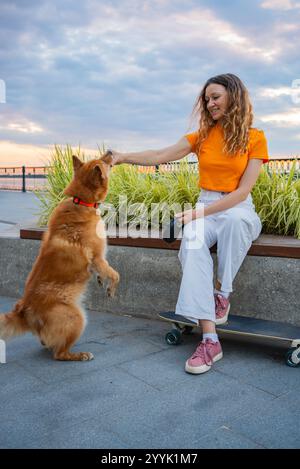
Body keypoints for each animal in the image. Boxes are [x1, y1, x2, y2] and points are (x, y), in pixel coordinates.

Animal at [0, 152, 119, 360]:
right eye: (103, 162)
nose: (111, 151)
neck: (81, 201)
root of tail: (24, 311)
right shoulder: (97, 257)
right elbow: (115, 274)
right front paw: (111, 289)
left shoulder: (98, 262)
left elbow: (105, 272)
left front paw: (100, 279)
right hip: (77, 318)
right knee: (60, 354)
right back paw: (79, 355)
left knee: (50, 344)